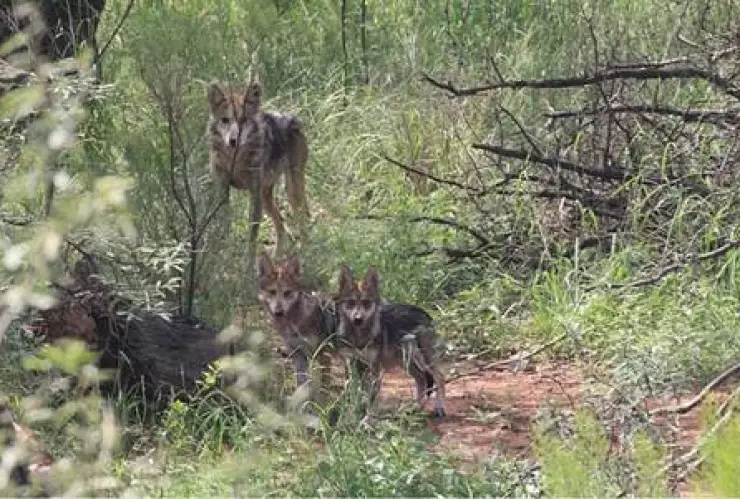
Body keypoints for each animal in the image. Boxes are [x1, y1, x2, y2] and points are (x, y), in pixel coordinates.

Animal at [206, 79, 310, 298]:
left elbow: (252, 238)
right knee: (281, 227)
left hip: (290, 192)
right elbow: (224, 230)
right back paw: (277, 262)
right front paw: (221, 263)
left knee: (302, 224)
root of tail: (290, 118)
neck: (235, 161)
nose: (233, 140)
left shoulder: (253, 195)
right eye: (225, 120)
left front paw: (247, 271)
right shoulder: (223, 192)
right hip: (267, 198)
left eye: (244, 120)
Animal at [335, 264, 447, 420]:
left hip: (424, 361)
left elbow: (370, 398)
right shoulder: (351, 364)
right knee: (421, 380)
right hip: (407, 362)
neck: (359, 337)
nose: (358, 319)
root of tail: (424, 312)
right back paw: (415, 408)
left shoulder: (374, 368)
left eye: (366, 303)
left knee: (439, 378)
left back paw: (439, 408)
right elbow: (353, 394)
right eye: (351, 303)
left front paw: (367, 419)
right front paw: (351, 416)